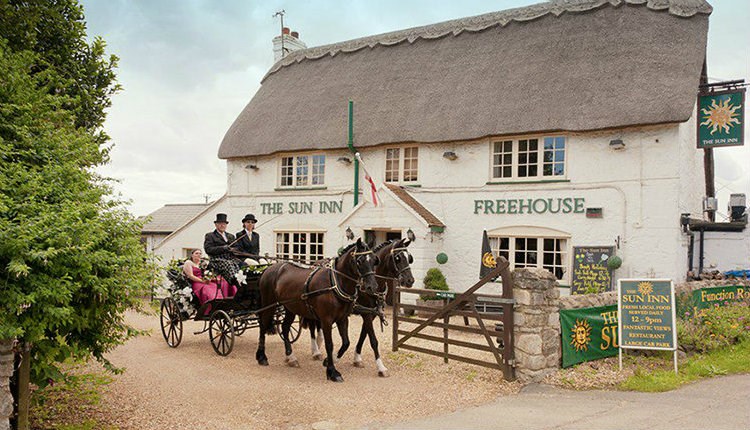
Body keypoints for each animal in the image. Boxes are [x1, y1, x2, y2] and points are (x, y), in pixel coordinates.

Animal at [258, 239, 378, 382]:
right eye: (359, 261)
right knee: (263, 326)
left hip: (290, 308)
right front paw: (332, 372)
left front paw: (329, 361)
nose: (372, 287)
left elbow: (346, 342)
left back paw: (291, 357)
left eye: (374, 260)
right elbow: (329, 344)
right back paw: (261, 356)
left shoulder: (342, 318)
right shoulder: (326, 320)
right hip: (268, 304)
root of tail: (269, 268)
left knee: (285, 328)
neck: (335, 283)